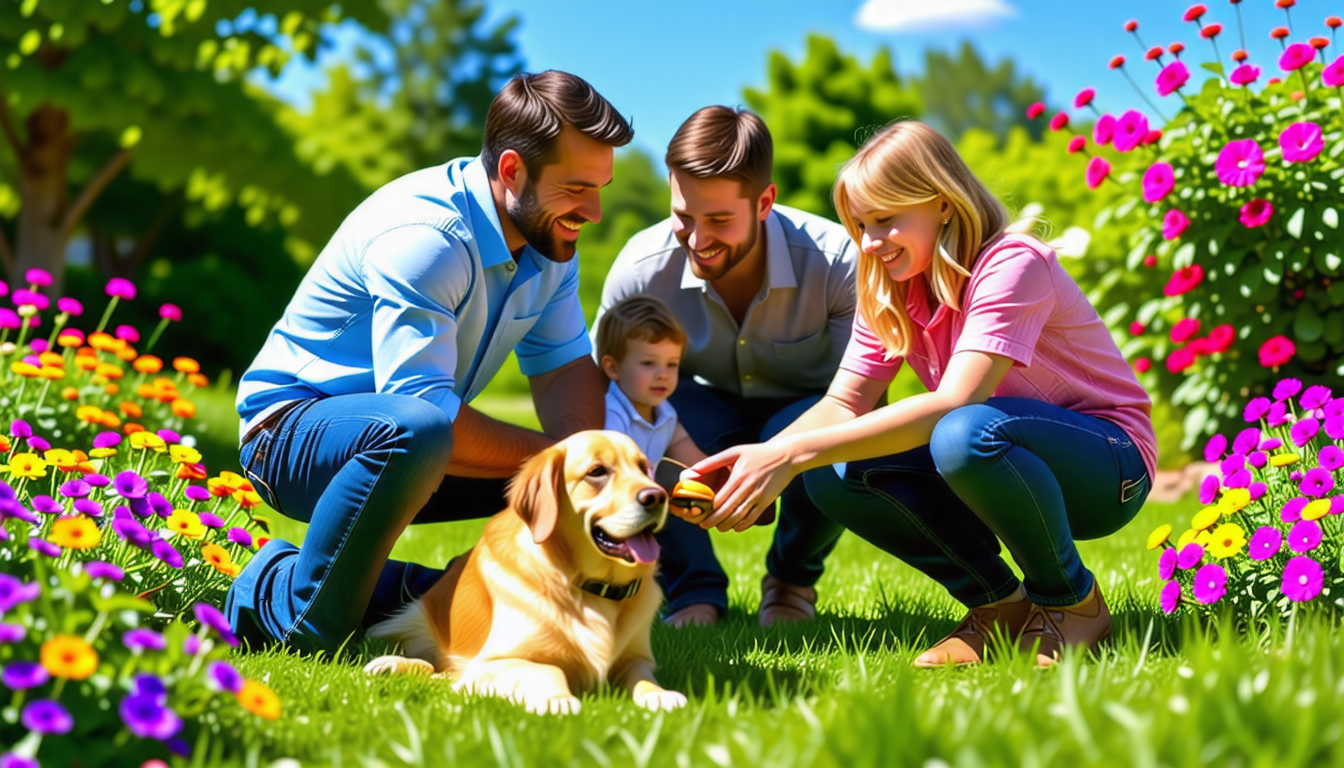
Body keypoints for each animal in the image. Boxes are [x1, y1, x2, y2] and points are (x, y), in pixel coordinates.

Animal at [362, 433, 688, 715]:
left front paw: (660, 695)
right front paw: (558, 700)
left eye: (645, 469)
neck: (586, 586)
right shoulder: (493, 661)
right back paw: (391, 665)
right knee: (431, 662)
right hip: (406, 620)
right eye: (597, 472)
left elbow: (642, 676)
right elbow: (549, 669)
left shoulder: (636, 657)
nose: (658, 496)